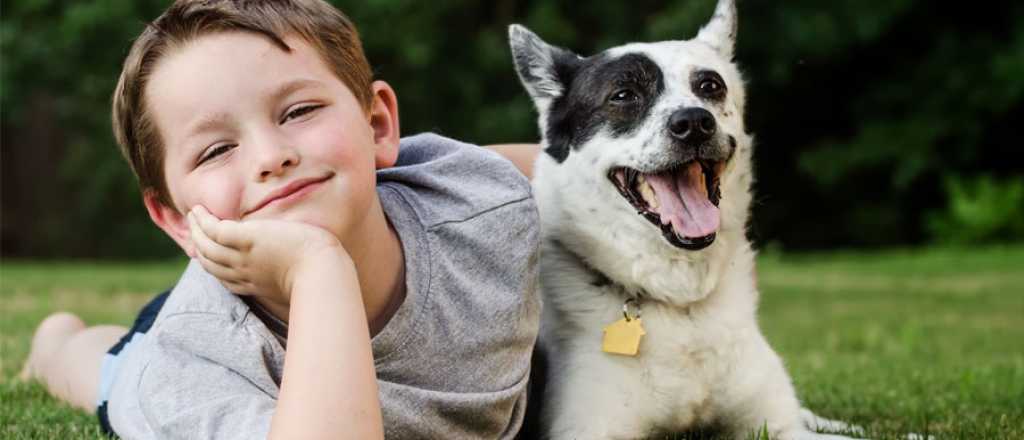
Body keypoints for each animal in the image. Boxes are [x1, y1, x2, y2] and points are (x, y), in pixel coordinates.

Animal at [509, 0, 864, 440]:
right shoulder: (589, 431)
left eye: (710, 86)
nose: (694, 122)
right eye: (623, 95)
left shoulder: (779, 426)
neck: (681, 305)